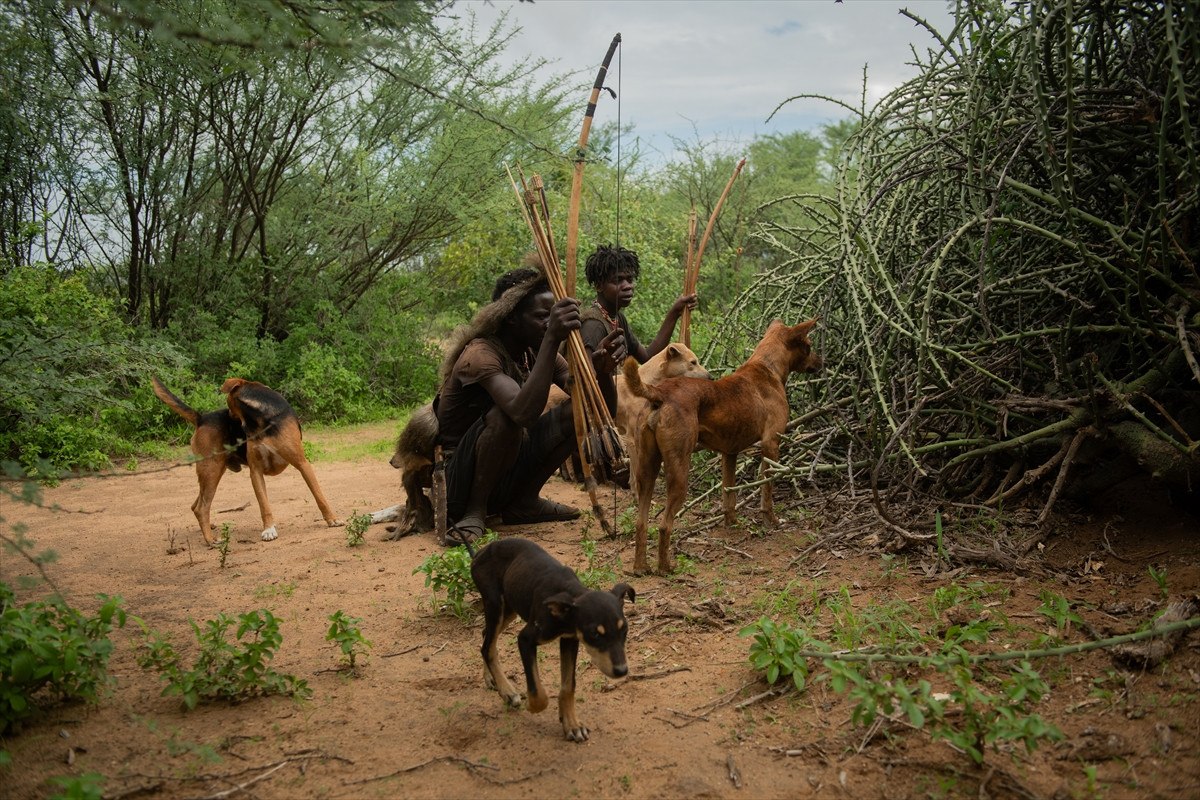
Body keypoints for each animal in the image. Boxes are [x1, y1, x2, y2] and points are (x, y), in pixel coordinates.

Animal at [152, 376, 343, 544]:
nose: (230, 418)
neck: (260, 419)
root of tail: (201, 418)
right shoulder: (255, 471)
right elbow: (264, 505)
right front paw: (269, 530)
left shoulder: (302, 464)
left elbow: (319, 496)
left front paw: (332, 519)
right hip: (211, 470)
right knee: (201, 508)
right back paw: (211, 540)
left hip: (212, 471)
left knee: (196, 505)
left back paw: (209, 529)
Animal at [470, 537, 638, 743]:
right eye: (595, 634)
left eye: (625, 630)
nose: (622, 671)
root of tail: (479, 552)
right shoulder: (525, 639)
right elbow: (538, 693)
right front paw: (532, 706)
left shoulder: (569, 640)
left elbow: (568, 686)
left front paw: (572, 724)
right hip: (495, 604)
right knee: (487, 647)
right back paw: (508, 692)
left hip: (509, 607)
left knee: (485, 637)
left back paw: (491, 679)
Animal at [624, 319, 820, 575]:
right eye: (809, 346)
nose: (822, 361)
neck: (767, 367)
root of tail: (660, 392)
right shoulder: (771, 444)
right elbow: (767, 490)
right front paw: (771, 521)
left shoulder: (729, 453)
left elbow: (729, 495)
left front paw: (732, 524)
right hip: (679, 472)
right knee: (664, 525)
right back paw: (665, 567)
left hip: (647, 470)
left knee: (641, 522)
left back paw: (640, 567)